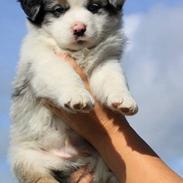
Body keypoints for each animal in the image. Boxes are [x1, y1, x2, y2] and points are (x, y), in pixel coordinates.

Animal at [10, 0, 138, 182]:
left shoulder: (105, 62)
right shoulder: (44, 60)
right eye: (59, 9)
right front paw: (77, 95)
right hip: (28, 160)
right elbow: (64, 73)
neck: (79, 52)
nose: (79, 29)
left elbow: (113, 77)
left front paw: (123, 99)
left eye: (93, 7)